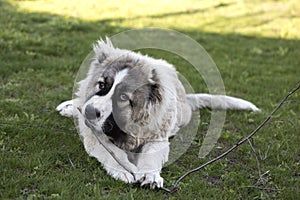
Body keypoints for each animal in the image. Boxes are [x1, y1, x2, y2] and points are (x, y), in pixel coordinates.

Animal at [56, 38, 260, 189]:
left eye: (123, 97)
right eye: (101, 85)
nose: (90, 112)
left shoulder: (156, 137)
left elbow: (150, 158)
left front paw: (150, 176)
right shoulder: (94, 136)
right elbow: (111, 153)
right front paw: (123, 170)